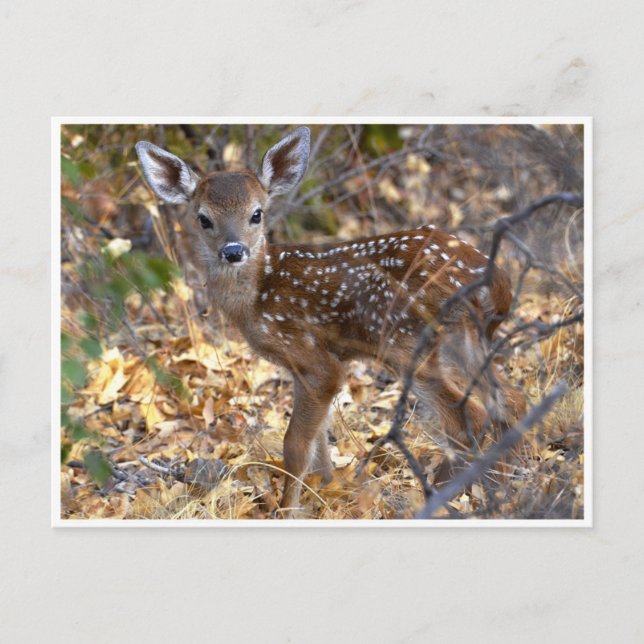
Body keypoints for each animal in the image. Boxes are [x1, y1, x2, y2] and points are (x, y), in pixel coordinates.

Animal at [135, 127, 526, 518]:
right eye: (203, 218)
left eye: (256, 214)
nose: (233, 251)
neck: (258, 295)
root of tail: (495, 280)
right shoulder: (309, 366)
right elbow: (320, 439)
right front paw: (326, 491)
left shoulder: (311, 356)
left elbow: (295, 444)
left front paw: (288, 510)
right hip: (465, 339)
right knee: (508, 399)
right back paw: (506, 478)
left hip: (404, 339)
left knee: (468, 415)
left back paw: (440, 494)